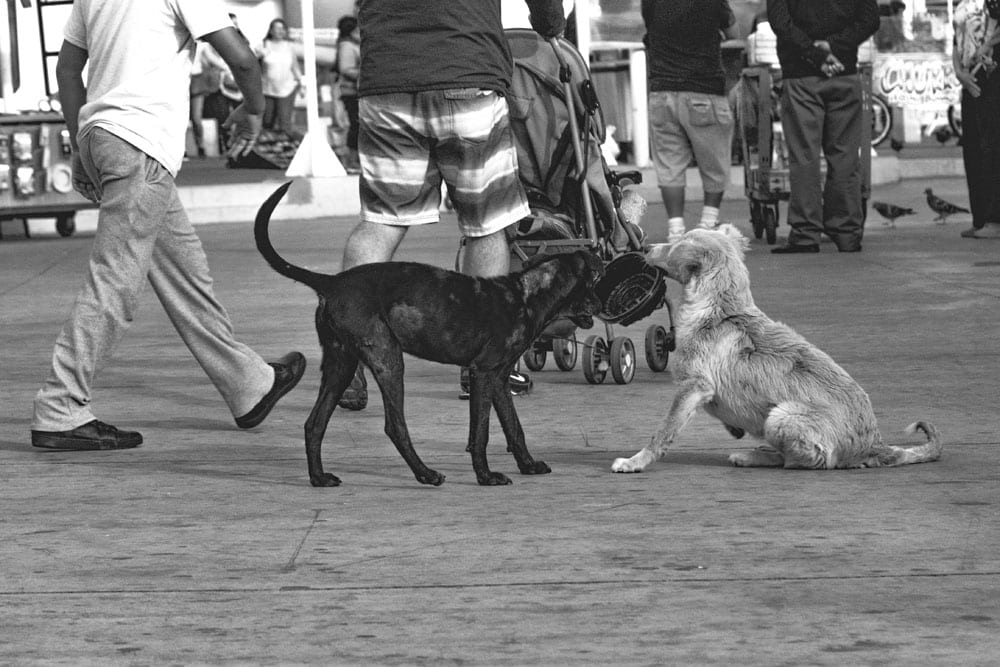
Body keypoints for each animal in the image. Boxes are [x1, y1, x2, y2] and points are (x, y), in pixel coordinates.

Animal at [254, 183, 604, 486]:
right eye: (595, 279)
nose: (605, 304)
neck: (525, 295)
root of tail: (331, 282)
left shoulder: (499, 379)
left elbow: (513, 427)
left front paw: (528, 465)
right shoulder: (483, 373)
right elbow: (481, 432)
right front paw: (485, 476)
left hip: (341, 364)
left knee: (314, 424)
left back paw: (319, 478)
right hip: (387, 358)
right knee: (394, 426)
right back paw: (425, 474)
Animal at [608, 227, 944, 472]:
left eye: (675, 243)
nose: (646, 247)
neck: (720, 310)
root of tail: (874, 444)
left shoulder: (693, 386)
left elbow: (663, 431)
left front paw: (635, 461)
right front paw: (733, 426)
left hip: (782, 416)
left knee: (807, 461)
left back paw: (755, 457)